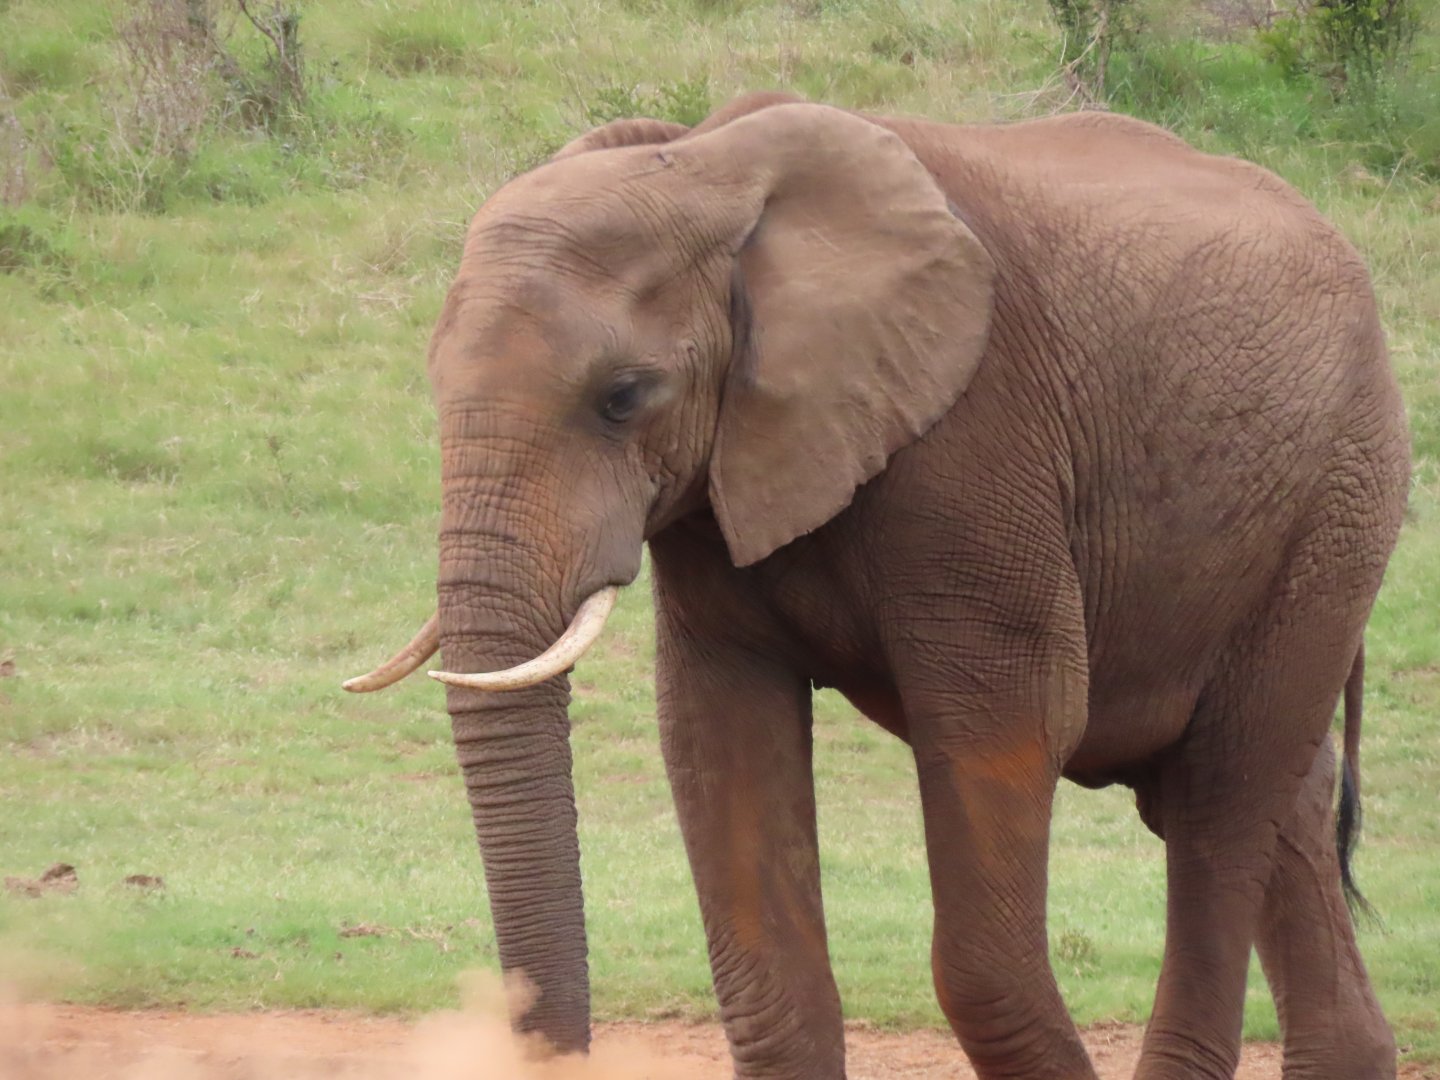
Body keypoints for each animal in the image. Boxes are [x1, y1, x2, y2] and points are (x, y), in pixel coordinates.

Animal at [344, 92, 1410, 1079]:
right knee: (1282, 802)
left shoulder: (981, 440)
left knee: (1223, 797)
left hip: (1336, 505)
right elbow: (718, 742)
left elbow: (1018, 722)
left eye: (622, 398)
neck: (707, 168)